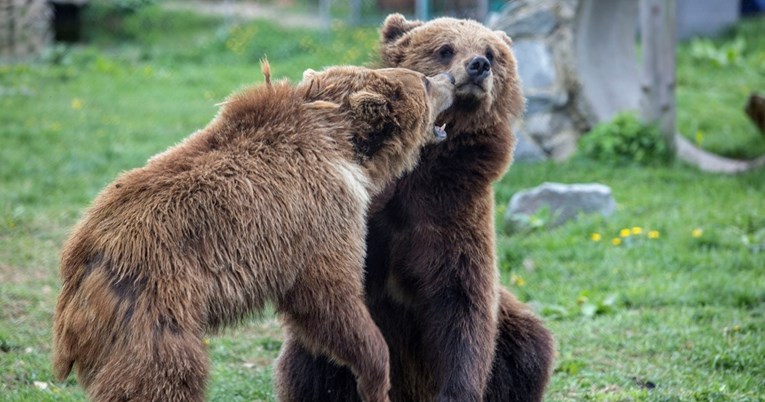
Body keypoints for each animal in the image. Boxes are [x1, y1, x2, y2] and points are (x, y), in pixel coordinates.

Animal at [52, 63, 454, 402]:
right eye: (424, 80)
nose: (450, 79)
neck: (343, 147)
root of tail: (80, 256)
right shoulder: (322, 217)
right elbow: (330, 296)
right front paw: (376, 376)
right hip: (153, 303)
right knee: (163, 373)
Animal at [274, 14, 556, 400]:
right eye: (445, 48)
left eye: (492, 53)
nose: (478, 66)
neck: (418, 171)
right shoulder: (370, 221)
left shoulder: (453, 212)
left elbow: (463, 304)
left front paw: (457, 390)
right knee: (310, 370)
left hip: (511, 330)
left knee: (528, 349)